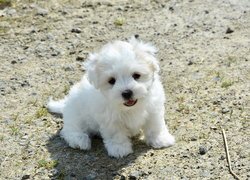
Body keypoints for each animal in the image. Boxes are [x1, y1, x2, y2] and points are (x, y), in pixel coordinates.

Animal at [47, 37, 175, 158]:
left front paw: (160, 140)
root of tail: (65, 104)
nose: (127, 92)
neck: (129, 108)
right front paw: (119, 149)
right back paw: (79, 140)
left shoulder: (153, 109)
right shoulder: (109, 119)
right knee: (70, 129)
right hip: (75, 115)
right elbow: (116, 134)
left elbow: (155, 126)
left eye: (136, 75)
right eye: (111, 81)